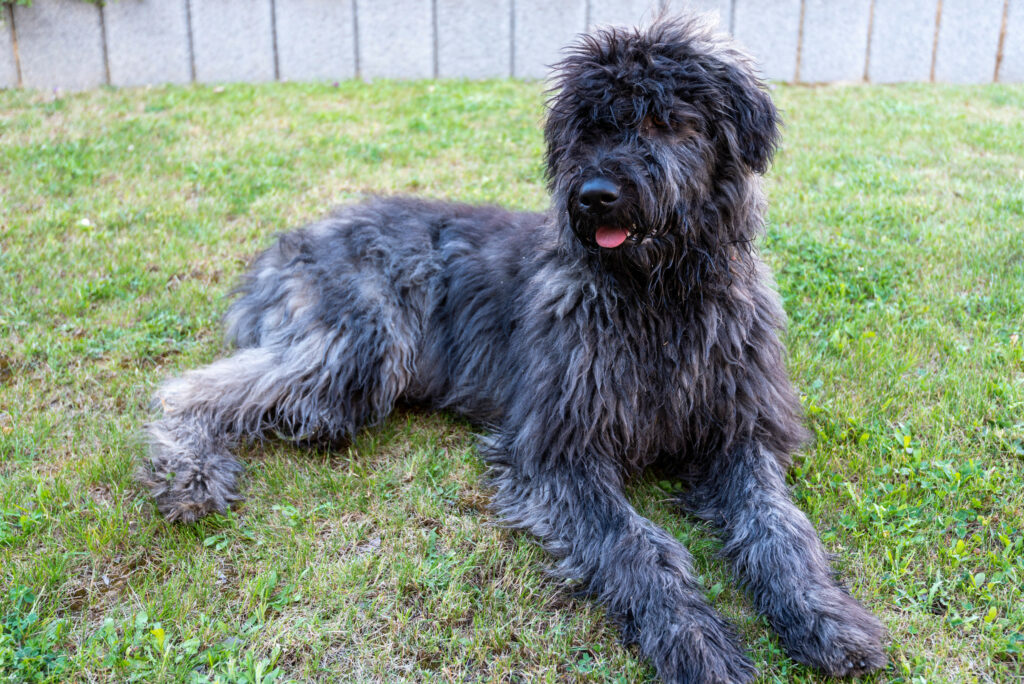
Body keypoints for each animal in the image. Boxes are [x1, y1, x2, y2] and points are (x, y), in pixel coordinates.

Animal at [138, 15, 888, 684]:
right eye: (590, 127)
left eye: (667, 122)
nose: (595, 195)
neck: (657, 300)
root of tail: (294, 240)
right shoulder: (560, 450)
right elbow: (638, 546)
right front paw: (695, 643)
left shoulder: (739, 430)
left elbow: (780, 527)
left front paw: (825, 618)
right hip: (361, 343)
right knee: (190, 387)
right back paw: (187, 472)